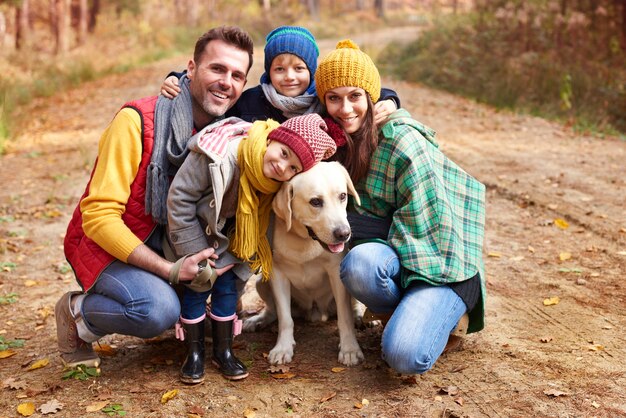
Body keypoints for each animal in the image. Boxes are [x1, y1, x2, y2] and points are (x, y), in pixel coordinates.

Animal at [243, 162, 364, 366]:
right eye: (315, 202)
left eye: (342, 196)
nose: (344, 233)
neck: (304, 240)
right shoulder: (278, 275)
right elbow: (285, 318)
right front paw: (283, 348)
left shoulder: (336, 271)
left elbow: (344, 316)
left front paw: (350, 348)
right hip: (261, 282)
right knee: (273, 311)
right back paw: (258, 320)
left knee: (353, 306)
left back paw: (358, 316)